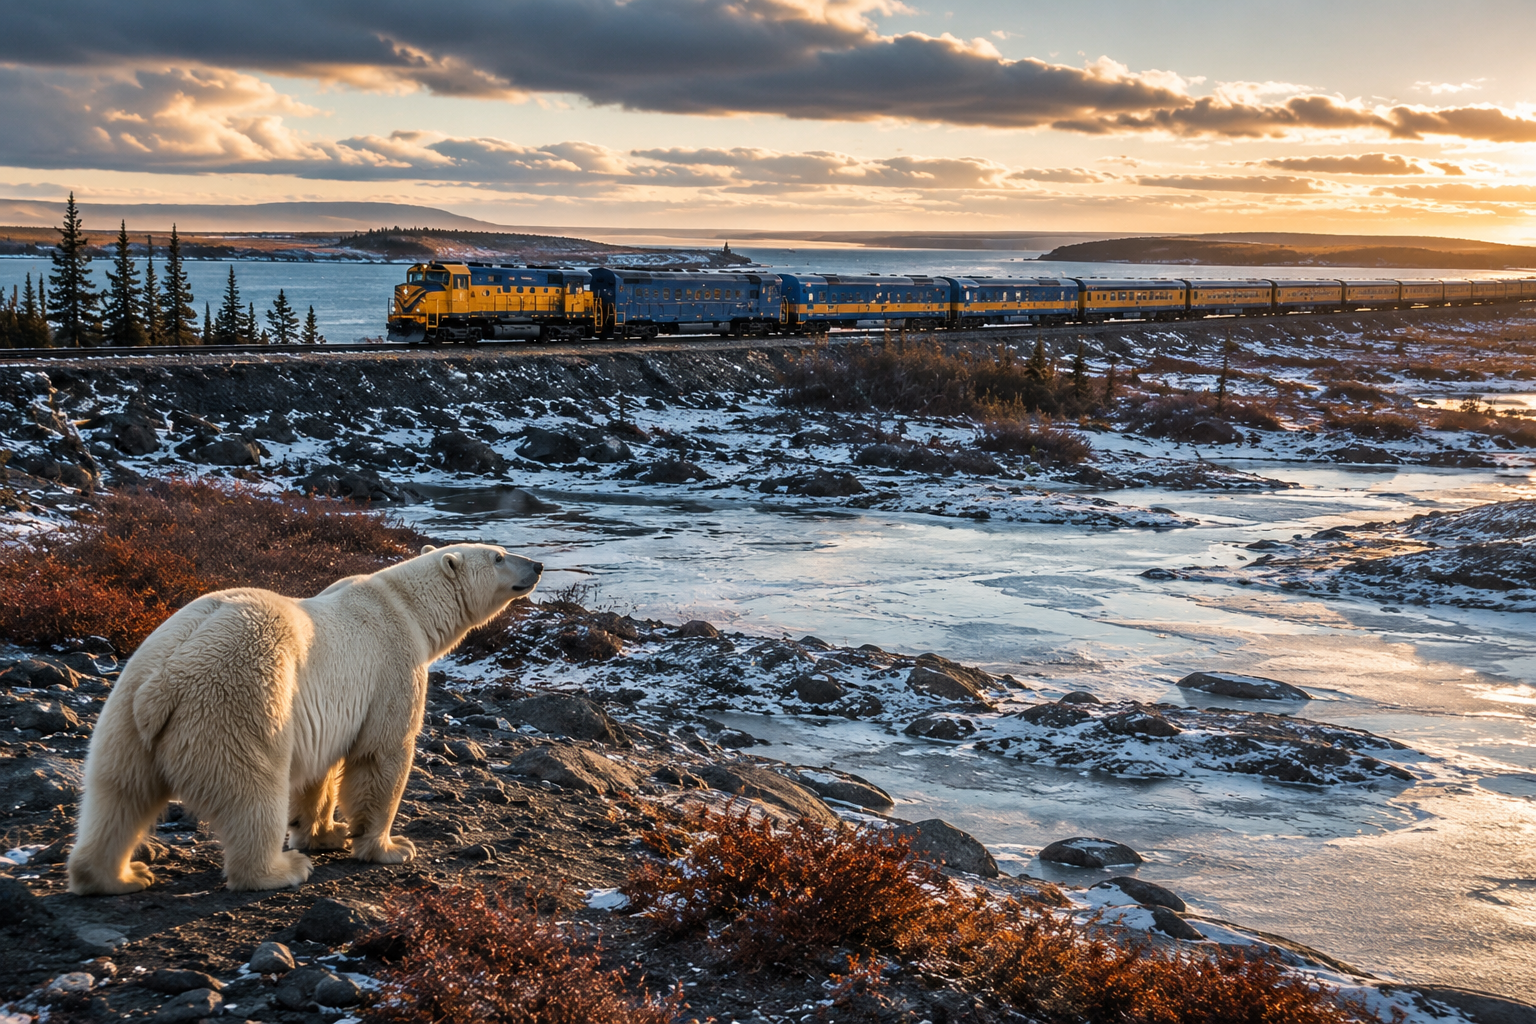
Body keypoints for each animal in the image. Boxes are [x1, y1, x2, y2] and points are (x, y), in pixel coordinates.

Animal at [67, 543, 541, 895]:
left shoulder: (326, 712)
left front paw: (323, 833)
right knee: (251, 790)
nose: (537, 565)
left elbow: (319, 771)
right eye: (499, 556)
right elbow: (381, 755)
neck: (407, 605)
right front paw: (389, 846)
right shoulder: (393, 667)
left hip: (124, 716)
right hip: (236, 700)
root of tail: (163, 682)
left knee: (117, 794)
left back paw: (117, 876)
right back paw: (281, 869)